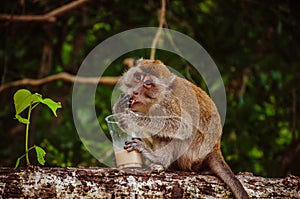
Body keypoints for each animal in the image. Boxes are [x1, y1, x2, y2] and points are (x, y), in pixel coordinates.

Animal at [112, 58, 248, 199]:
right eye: (138, 77)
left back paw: (159, 159)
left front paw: (132, 119)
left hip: (193, 151)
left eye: (148, 83)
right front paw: (119, 107)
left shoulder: (168, 102)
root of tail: (215, 149)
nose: (135, 91)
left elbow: (184, 127)